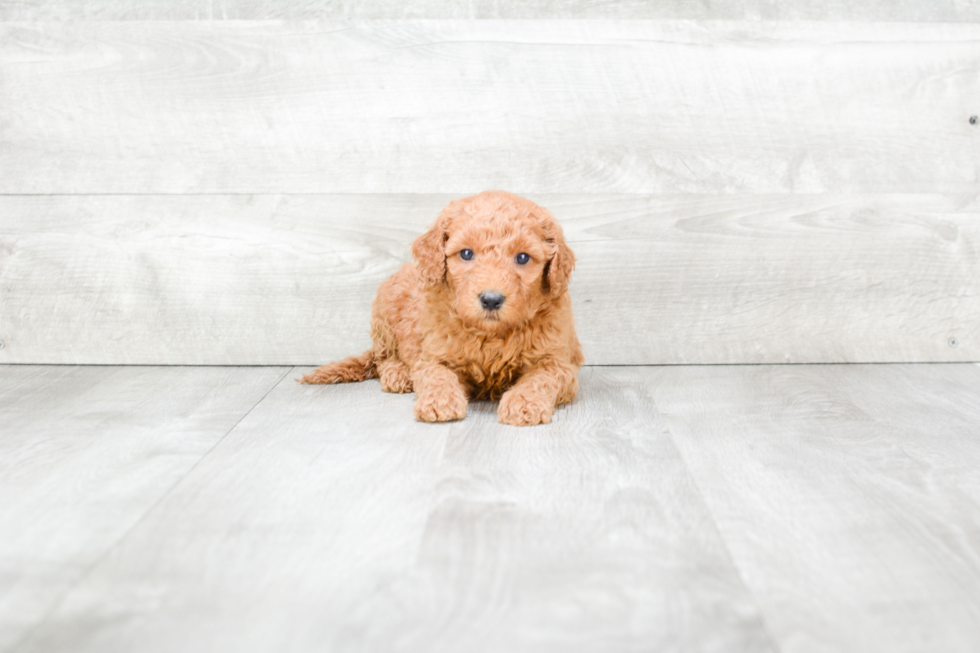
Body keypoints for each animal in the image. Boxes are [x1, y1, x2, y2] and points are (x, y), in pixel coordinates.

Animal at [300, 188, 580, 426]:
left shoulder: (559, 362)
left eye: (522, 257)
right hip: (384, 314)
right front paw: (439, 402)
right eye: (466, 254)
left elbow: (541, 378)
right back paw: (398, 374)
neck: (491, 334)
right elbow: (437, 376)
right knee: (383, 358)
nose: (491, 299)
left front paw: (524, 403)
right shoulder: (433, 356)